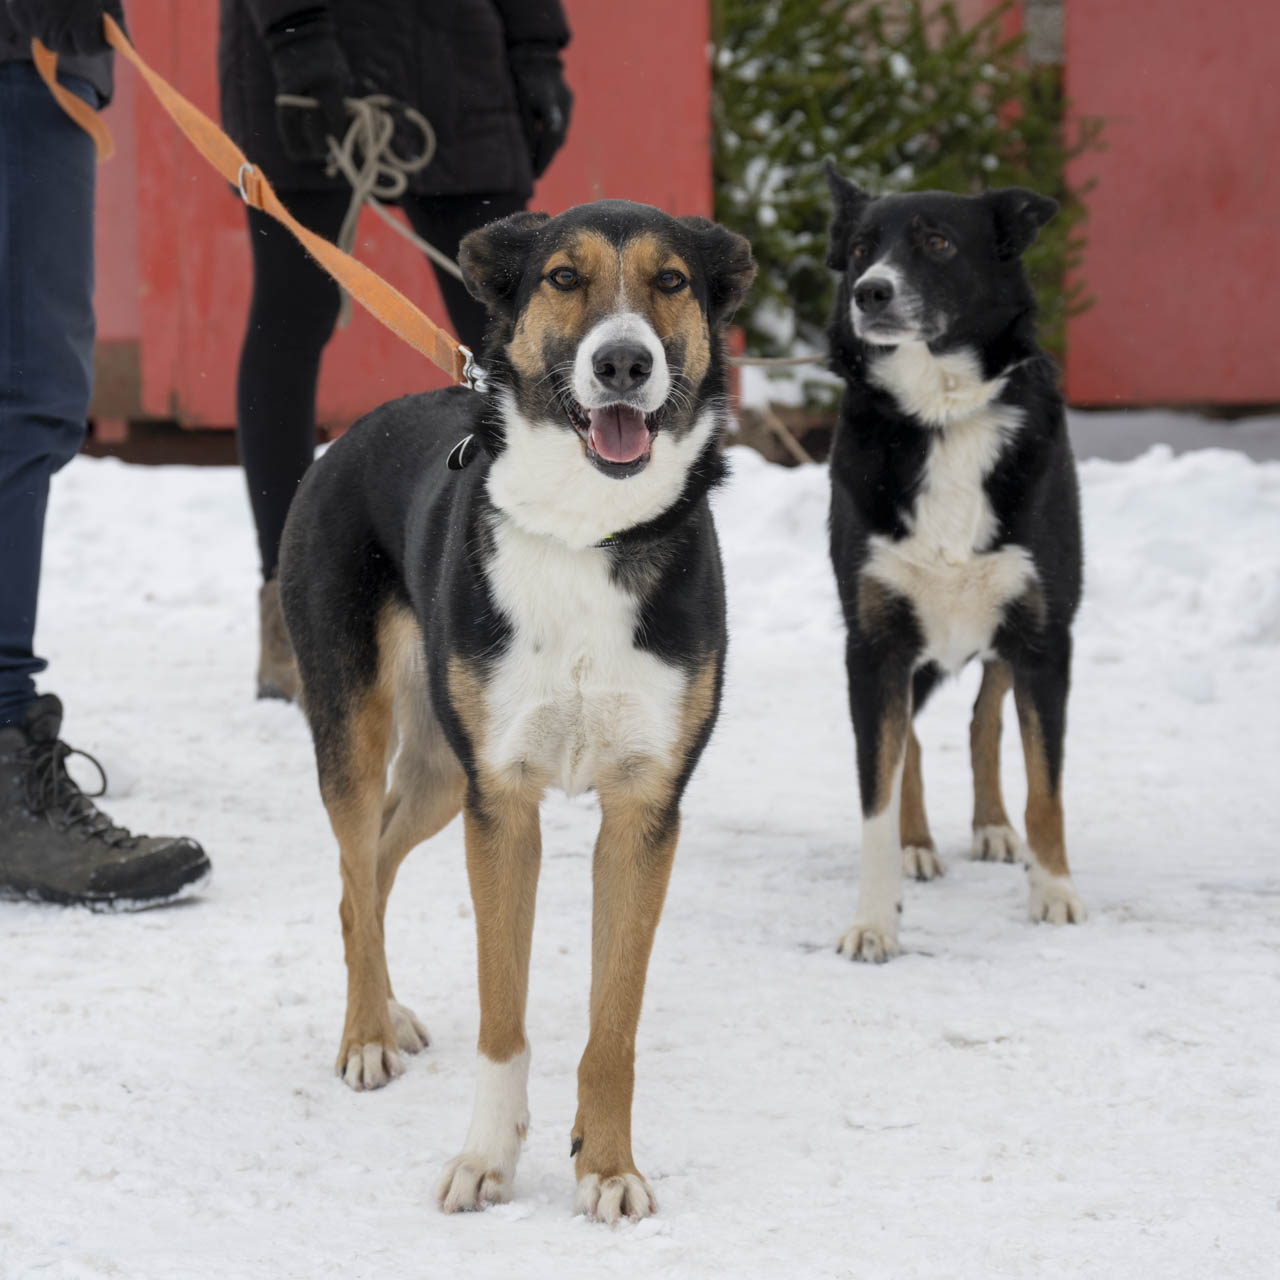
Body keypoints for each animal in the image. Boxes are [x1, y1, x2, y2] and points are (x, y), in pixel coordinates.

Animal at [278, 200, 754, 1222]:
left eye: (671, 282)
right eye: (563, 277)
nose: (625, 363)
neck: (586, 531)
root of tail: (352, 433)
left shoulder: (642, 810)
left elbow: (613, 1022)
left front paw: (607, 1166)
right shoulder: (504, 806)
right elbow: (504, 1016)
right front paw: (486, 1159)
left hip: (439, 774)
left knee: (372, 867)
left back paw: (385, 1011)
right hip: (358, 729)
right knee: (353, 867)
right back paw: (366, 1032)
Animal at [821, 160, 1085, 963]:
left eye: (936, 241)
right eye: (862, 247)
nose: (870, 291)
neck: (940, 416)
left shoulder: (1045, 635)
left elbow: (1044, 784)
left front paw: (1053, 890)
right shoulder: (874, 643)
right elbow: (876, 789)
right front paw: (876, 919)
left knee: (983, 718)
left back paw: (994, 828)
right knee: (909, 738)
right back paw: (919, 844)